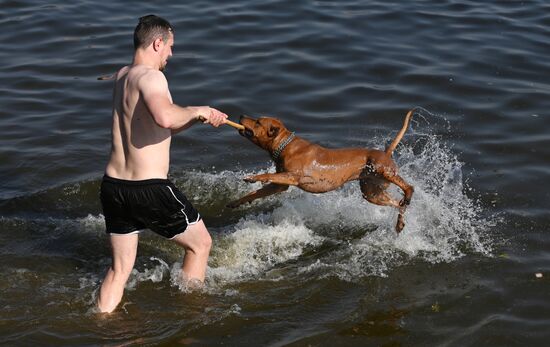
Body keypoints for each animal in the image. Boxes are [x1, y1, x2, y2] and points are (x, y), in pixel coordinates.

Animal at [227, 110, 414, 232]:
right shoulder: (279, 185)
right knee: (398, 205)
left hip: (381, 169)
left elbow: (267, 175)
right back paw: (399, 223)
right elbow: (256, 193)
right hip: (371, 192)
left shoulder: (292, 176)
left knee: (408, 187)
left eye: (258, 122)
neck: (285, 146)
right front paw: (237, 202)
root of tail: (386, 153)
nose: (241, 116)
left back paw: (408, 195)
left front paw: (253, 177)